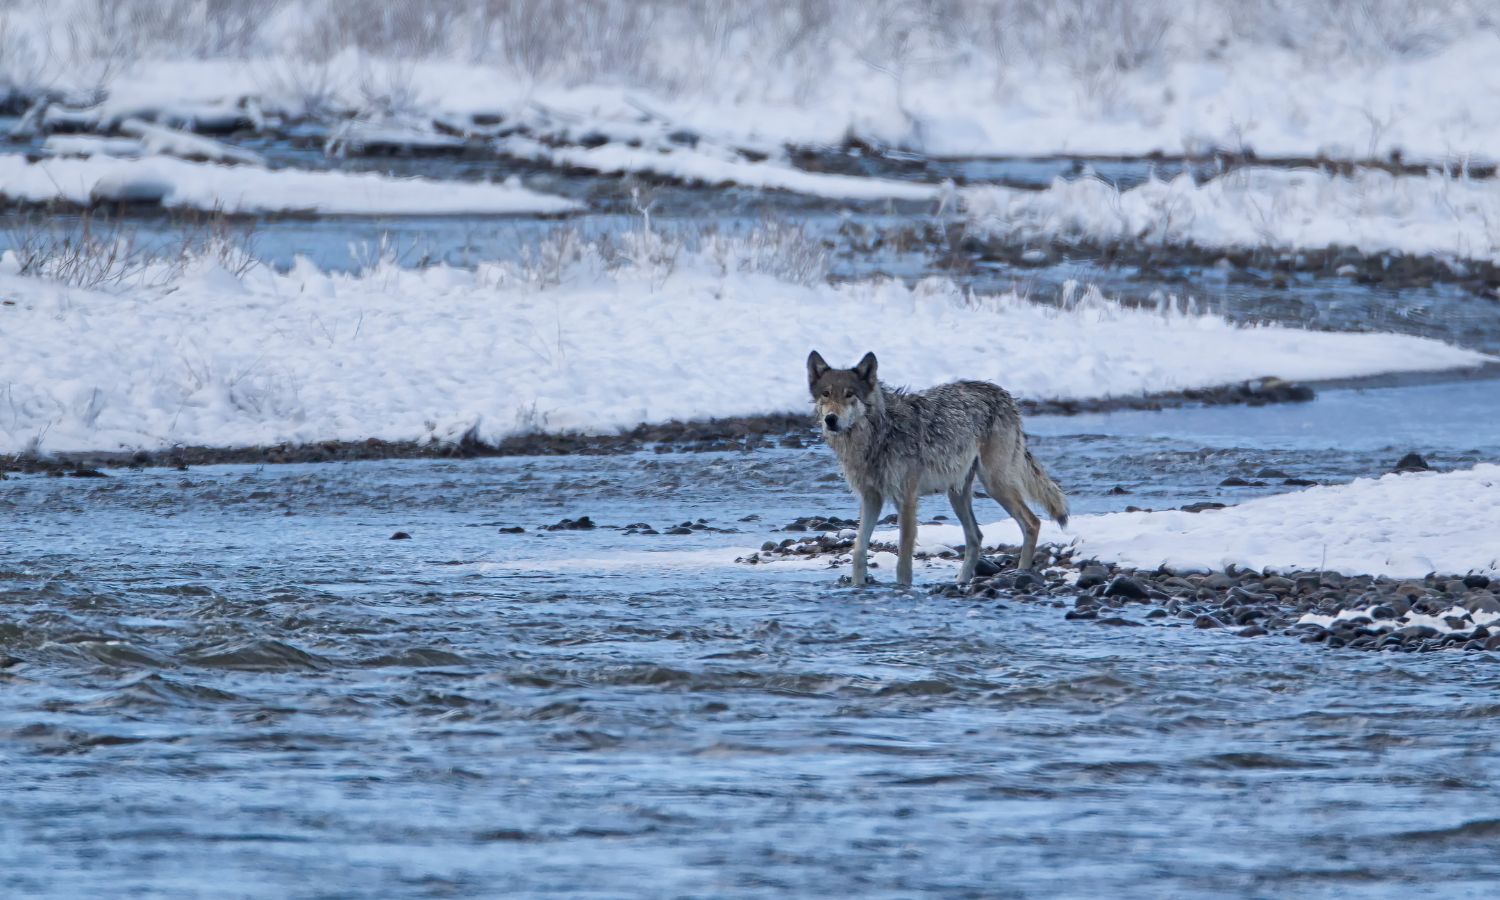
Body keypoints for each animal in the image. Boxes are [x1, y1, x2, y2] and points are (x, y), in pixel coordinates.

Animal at [810, 348, 1068, 588]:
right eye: (826, 394)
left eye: (849, 395)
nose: (831, 419)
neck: (878, 436)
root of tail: (1004, 394)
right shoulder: (871, 498)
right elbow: (859, 551)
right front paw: (857, 586)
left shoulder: (906, 500)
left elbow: (903, 561)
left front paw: (902, 589)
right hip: (958, 494)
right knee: (976, 537)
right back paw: (961, 582)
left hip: (995, 485)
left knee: (1032, 523)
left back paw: (1021, 574)